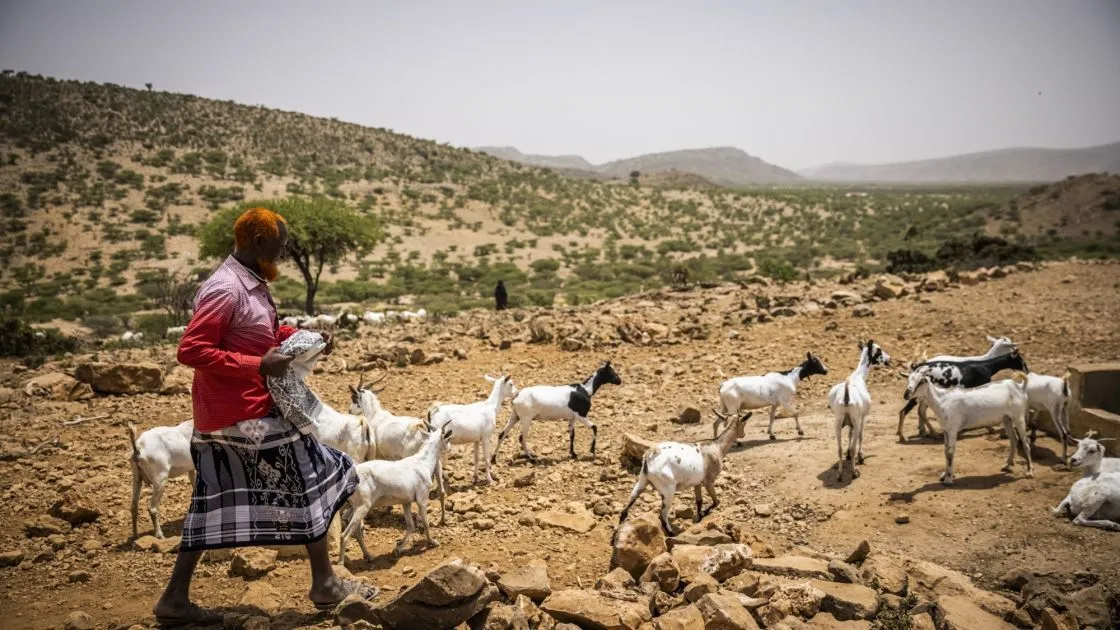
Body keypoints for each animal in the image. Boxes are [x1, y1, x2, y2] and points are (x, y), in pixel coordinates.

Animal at [338, 421, 452, 558]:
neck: (422, 462)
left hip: (356, 506)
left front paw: (398, 548)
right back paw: (342, 561)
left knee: (353, 527)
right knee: (345, 535)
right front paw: (432, 542)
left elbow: (411, 526)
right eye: (446, 438)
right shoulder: (422, 499)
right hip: (362, 507)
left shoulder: (406, 502)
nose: (449, 449)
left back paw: (369, 556)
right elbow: (425, 522)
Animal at [495, 358, 627, 461]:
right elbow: (594, 427)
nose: (619, 381)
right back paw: (531, 458)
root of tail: (516, 397)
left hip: (515, 416)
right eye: (611, 372)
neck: (585, 390)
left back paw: (494, 459)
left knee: (502, 434)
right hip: (526, 418)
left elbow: (572, 435)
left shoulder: (572, 418)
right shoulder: (581, 415)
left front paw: (573, 454)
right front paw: (592, 450)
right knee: (522, 438)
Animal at [618, 412, 757, 533]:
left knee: (627, 507)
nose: (743, 434)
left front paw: (700, 517)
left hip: (642, 480)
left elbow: (699, 501)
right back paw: (672, 534)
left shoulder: (697, 483)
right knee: (663, 516)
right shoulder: (708, 480)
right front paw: (704, 514)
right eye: (744, 423)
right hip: (668, 489)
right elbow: (716, 501)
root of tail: (650, 456)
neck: (717, 446)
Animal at [824, 340, 891, 477]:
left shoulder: (849, 422)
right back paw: (854, 471)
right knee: (856, 441)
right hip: (855, 421)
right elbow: (861, 435)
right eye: (879, 350)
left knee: (839, 448)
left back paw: (839, 473)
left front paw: (848, 454)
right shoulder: (862, 417)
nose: (889, 359)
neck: (859, 375)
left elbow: (849, 435)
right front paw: (860, 456)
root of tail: (846, 397)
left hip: (838, 423)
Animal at [896, 345, 1025, 439]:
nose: (1026, 369)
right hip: (918, 395)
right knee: (909, 411)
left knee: (917, 411)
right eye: (1021, 360)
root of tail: (916, 367)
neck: (985, 366)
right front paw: (989, 428)